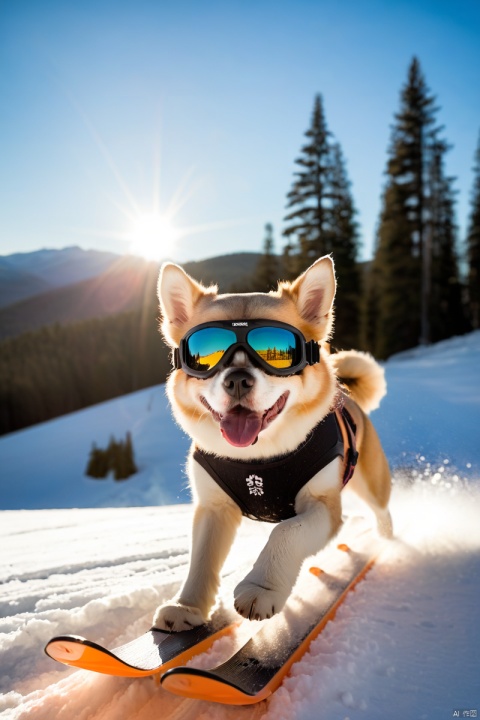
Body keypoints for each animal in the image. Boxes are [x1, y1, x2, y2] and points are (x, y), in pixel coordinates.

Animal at [153, 255, 390, 632]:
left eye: (274, 347)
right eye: (203, 351)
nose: (237, 380)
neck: (258, 459)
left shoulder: (322, 505)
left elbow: (286, 533)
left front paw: (261, 588)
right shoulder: (213, 509)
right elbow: (201, 561)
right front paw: (188, 607)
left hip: (372, 482)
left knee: (382, 513)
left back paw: (386, 543)